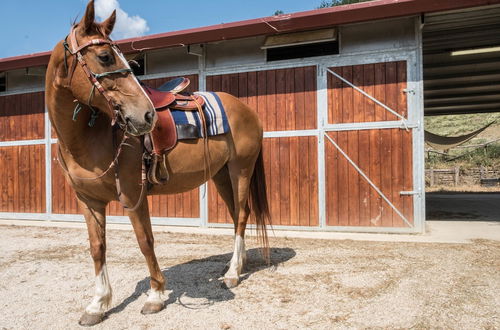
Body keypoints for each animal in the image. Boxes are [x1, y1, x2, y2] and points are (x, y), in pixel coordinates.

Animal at [45, 0, 272, 324]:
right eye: (104, 56)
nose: (147, 115)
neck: (90, 136)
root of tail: (246, 109)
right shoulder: (88, 201)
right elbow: (97, 247)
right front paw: (98, 304)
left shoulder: (133, 197)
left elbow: (145, 241)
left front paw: (155, 295)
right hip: (220, 175)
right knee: (237, 214)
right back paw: (237, 265)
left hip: (240, 169)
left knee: (241, 215)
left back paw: (231, 274)